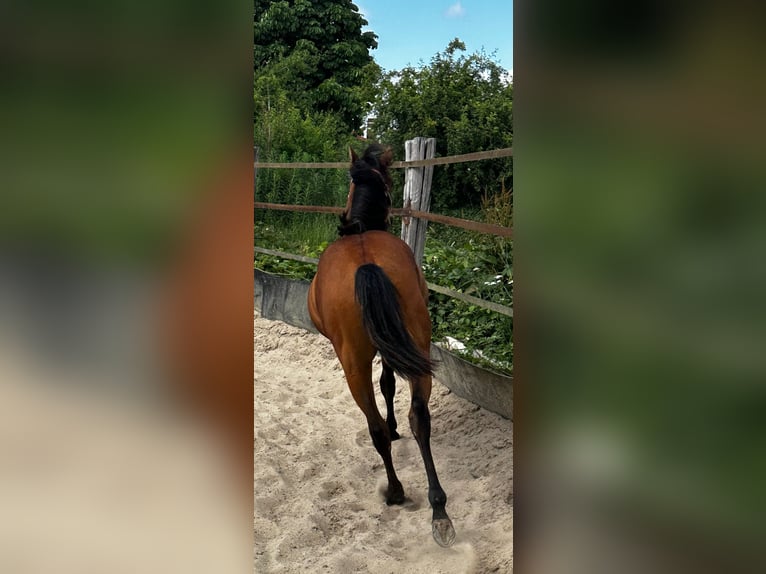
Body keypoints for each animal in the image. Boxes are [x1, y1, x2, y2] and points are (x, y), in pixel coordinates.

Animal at [307, 143, 456, 547]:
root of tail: (365, 263)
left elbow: (385, 386)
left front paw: (391, 428)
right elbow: (391, 385)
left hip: (352, 365)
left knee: (375, 429)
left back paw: (396, 491)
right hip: (418, 347)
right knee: (420, 416)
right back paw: (439, 510)